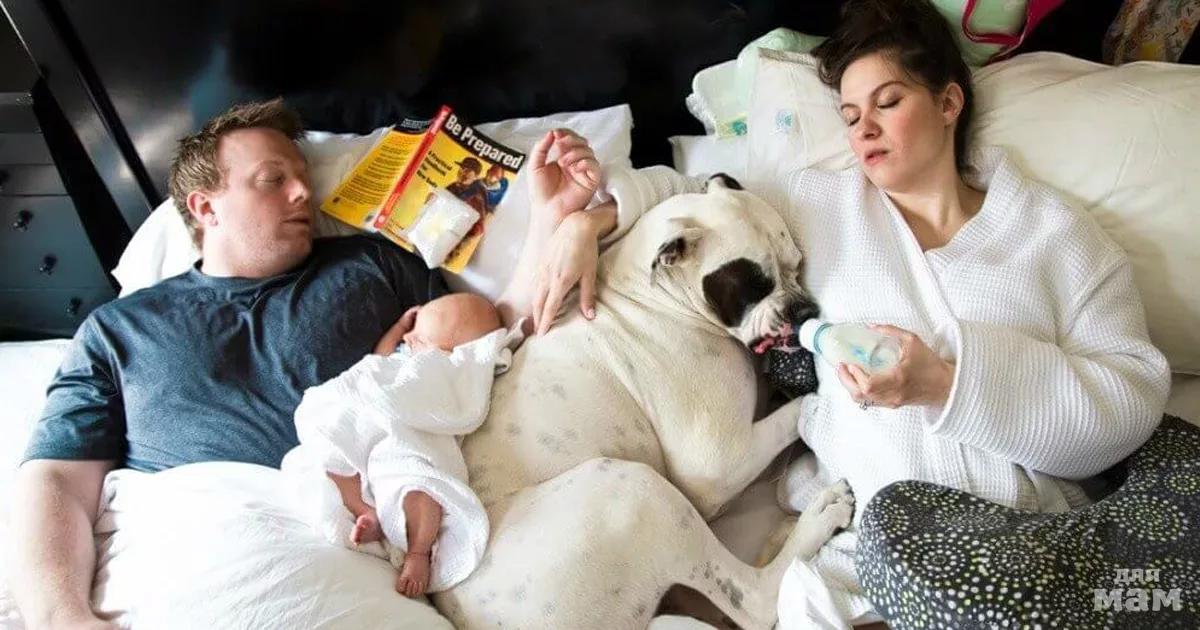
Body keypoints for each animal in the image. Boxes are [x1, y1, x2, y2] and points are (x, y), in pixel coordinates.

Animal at [434, 175, 854, 630]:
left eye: (796, 265)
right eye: (755, 286)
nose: (804, 309)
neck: (648, 290)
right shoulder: (717, 467)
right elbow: (789, 417)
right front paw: (818, 402)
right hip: (636, 490)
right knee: (752, 601)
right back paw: (819, 516)